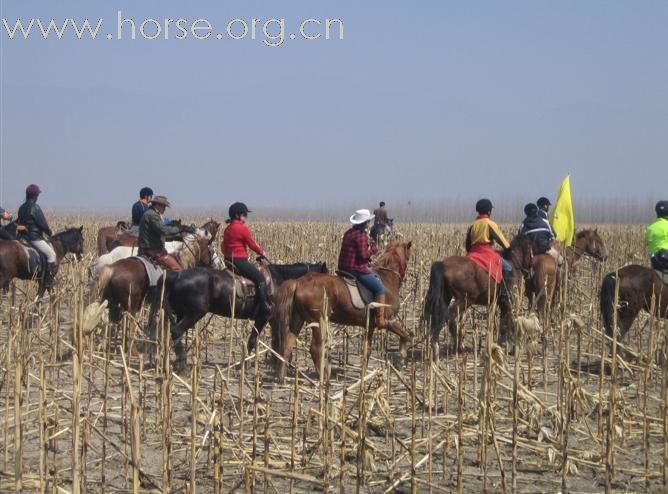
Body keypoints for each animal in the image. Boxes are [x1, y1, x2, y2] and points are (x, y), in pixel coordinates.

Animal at [145, 262, 328, 370]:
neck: (278, 279)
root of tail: (177, 275)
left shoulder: (272, 320)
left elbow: (276, 340)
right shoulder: (264, 318)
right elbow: (254, 340)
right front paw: (244, 363)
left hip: (181, 313)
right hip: (194, 313)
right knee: (176, 331)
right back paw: (182, 363)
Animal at [272, 241, 412, 384]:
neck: (387, 278)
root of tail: (298, 282)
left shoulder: (370, 326)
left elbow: (367, 350)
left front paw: (363, 375)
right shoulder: (387, 321)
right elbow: (405, 334)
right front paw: (401, 360)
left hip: (297, 319)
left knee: (287, 345)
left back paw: (281, 377)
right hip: (319, 322)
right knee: (315, 349)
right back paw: (324, 379)